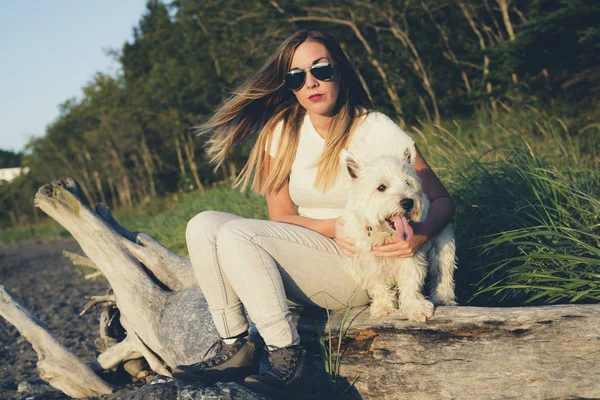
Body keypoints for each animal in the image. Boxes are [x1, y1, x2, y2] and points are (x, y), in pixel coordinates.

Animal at [340, 149, 458, 322]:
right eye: (381, 187)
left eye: (407, 183)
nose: (408, 202)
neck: (383, 233)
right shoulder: (369, 261)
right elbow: (378, 283)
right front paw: (383, 306)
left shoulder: (410, 256)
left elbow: (411, 283)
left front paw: (416, 309)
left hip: (443, 247)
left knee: (443, 274)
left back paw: (443, 299)